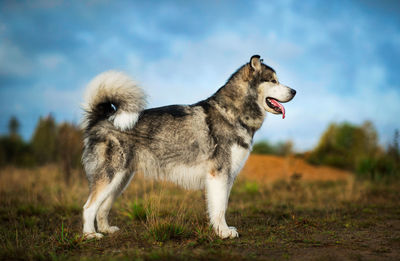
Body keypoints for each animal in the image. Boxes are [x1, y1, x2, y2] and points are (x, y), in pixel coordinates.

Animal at [81, 54, 296, 238]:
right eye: (273, 81)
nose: (294, 91)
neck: (233, 113)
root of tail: (102, 117)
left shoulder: (227, 176)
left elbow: (220, 206)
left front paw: (220, 229)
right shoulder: (219, 174)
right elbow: (220, 208)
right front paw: (224, 232)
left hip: (121, 179)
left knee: (103, 206)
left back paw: (106, 229)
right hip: (111, 176)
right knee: (88, 206)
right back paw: (90, 234)